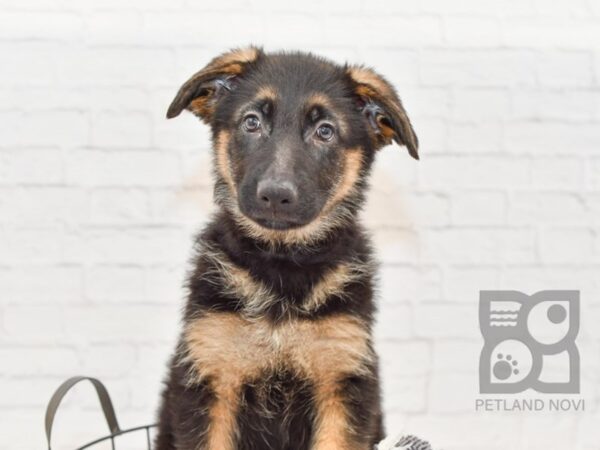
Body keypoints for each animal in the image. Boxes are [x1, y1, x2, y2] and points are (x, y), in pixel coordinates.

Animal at [155, 46, 418, 450]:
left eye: (325, 131)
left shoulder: (341, 379)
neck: (282, 265)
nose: (276, 195)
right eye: (251, 122)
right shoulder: (210, 377)